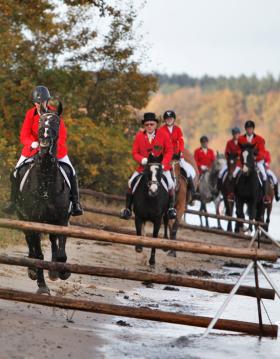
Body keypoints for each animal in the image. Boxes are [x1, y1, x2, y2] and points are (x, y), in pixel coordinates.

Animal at [15, 102, 71, 294]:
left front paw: (62, 272)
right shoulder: (33, 221)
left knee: (53, 241)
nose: (44, 143)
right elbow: (38, 254)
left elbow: (61, 253)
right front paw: (42, 286)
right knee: (30, 243)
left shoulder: (61, 219)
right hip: (24, 220)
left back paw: (53, 271)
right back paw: (32, 270)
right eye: (40, 122)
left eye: (56, 123)